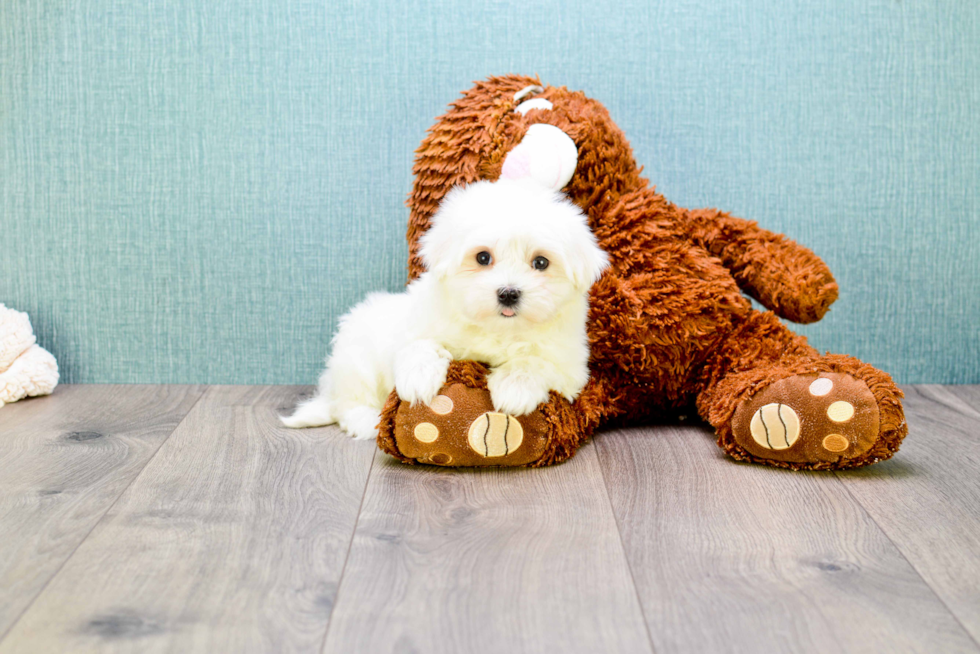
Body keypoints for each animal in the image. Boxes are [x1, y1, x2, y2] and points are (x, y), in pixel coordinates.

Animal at [280, 177, 608, 438]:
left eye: (540, 262)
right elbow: (419, 346)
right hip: (355, 359)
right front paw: (419, 379)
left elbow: (534, 361)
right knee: (349, 402)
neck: (497, 330)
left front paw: (515, 388)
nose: (508, 293)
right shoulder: (418, 325)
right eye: (483, 257)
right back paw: (367, 421)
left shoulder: (570, 365)